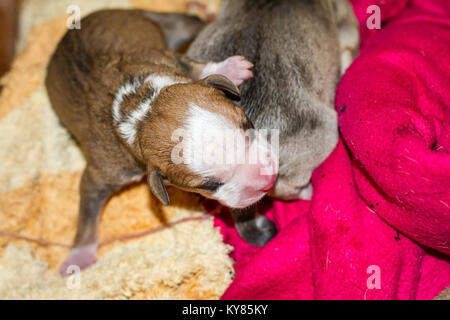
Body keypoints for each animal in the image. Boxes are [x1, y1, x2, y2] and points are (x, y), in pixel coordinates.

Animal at [45, 9, 278, 276]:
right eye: (210, 185)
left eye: (248, 124)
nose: (269, 179)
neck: (142, 109)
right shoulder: (101, 174)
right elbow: (86, 216)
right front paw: (78, 256)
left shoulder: (163, 57)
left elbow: (193, 65)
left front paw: (231, 67)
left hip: (164, 22)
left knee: (189, 23)